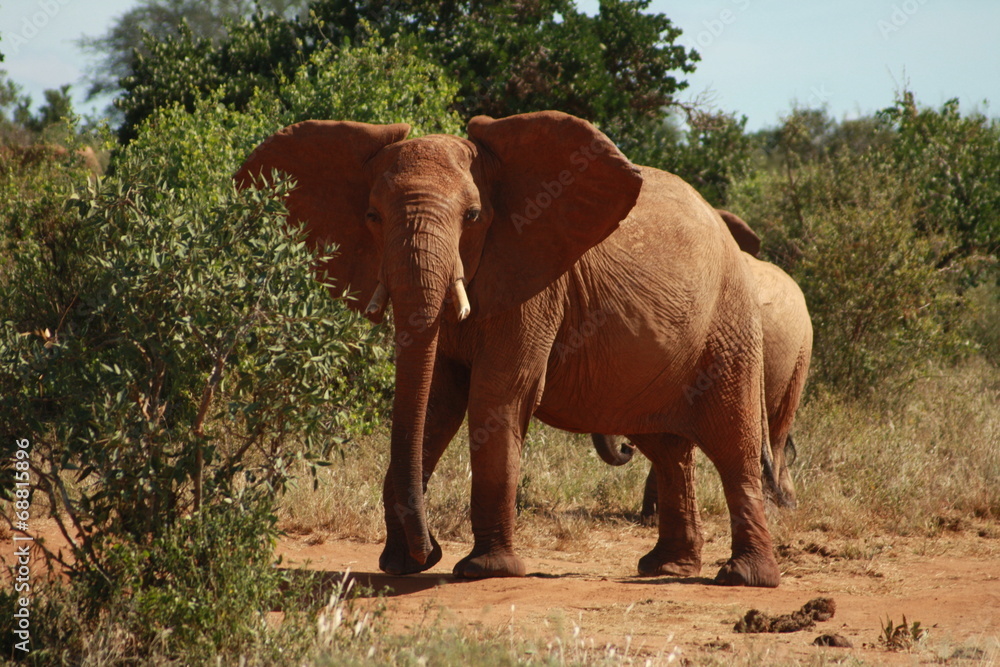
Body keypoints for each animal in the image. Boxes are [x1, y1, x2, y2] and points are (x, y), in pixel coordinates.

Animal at [236, 111, 781, 587]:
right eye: (371, 215)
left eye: (474, 216)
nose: (428, 548)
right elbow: (435, 402)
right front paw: (401, 565)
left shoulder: (535, 281)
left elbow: (496, 396)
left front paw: (484, 570)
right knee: (667, 448)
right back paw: (666, 567)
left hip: (729, 324)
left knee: (733, 442)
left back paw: (743, 578)